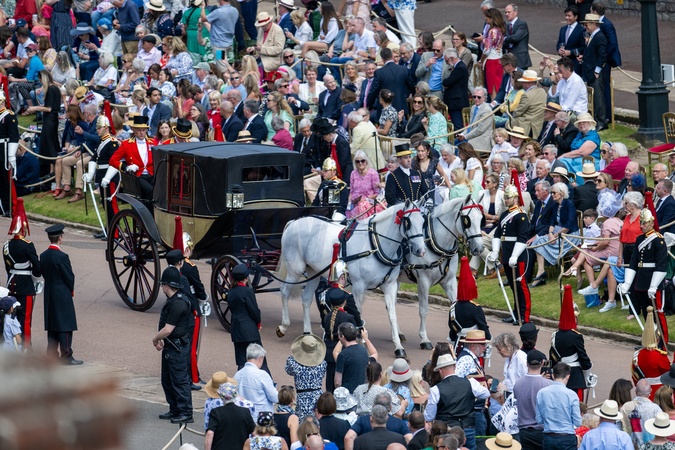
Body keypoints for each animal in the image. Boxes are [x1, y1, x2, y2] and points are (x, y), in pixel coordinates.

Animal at [277, 201, 426, 357]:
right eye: (408, 222)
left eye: (423, 221)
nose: (421, 251)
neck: (375, 245)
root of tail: (294, 222)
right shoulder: (359, 287)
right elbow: (357, 314)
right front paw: (359, 342)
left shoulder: (390, 286)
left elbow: (392, 315)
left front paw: (398, 347)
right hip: (295, 270)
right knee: (284, 291)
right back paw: (283, 326)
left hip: (313, 272)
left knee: (306, 298)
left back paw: (308, 333)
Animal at [403, 195, 485, 350]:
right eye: (467, 220)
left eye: (481, 219)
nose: (479, 248)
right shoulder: (423, 282)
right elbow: (423, 309)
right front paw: (424, 339)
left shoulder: (450, 281)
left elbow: (456, 304)